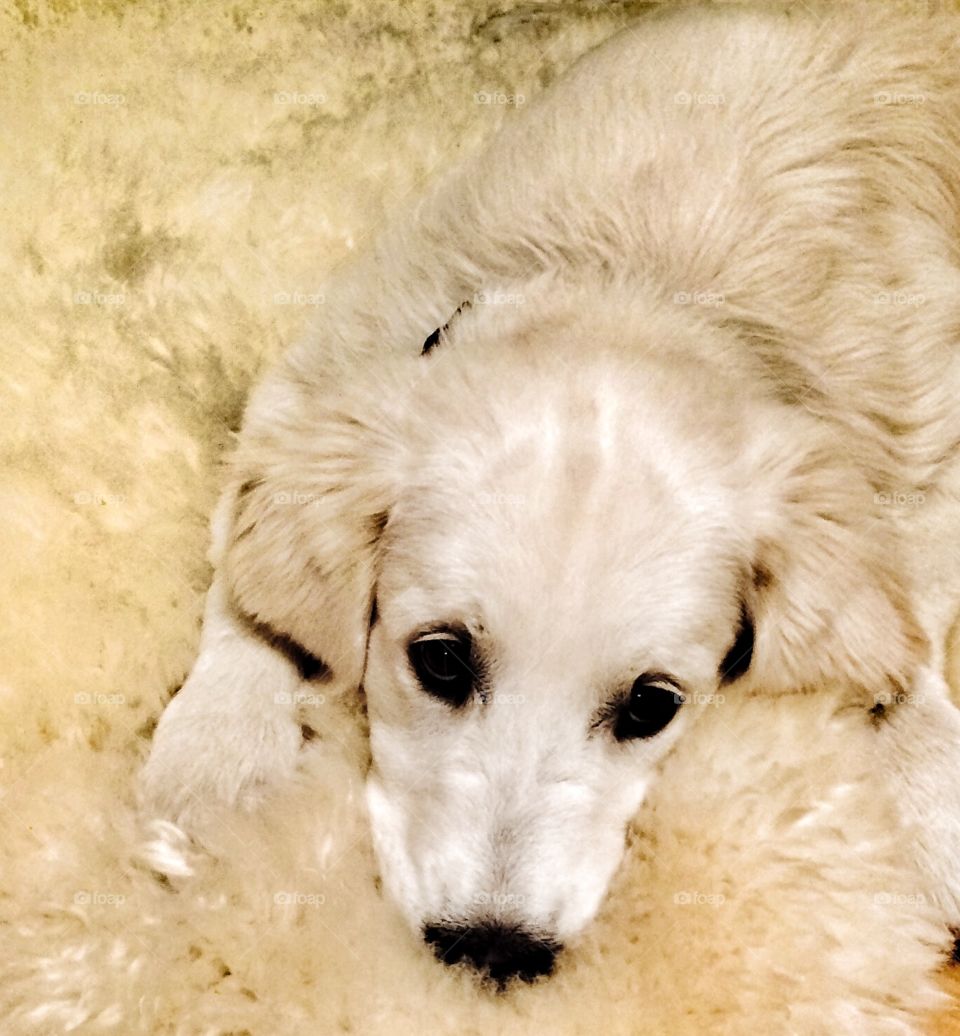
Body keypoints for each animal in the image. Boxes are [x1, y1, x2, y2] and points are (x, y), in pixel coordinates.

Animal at [140, 2, 960, 986]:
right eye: (439, 660)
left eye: (653, 706)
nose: (494, 951)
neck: (642, 279)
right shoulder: (309, 378)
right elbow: (252, 596)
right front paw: (215, 764)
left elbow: (903, 638)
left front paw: (933, 785)